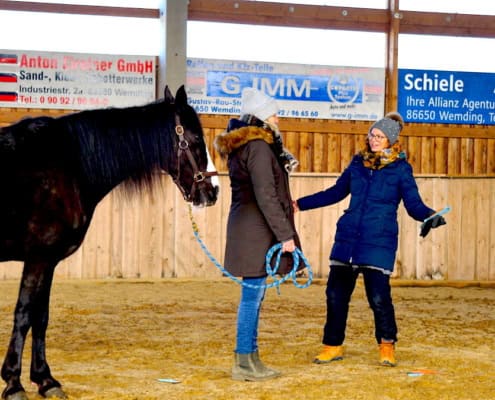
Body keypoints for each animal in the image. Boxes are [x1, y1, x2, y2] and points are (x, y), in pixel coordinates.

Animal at [0, 86, 219, 398]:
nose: (213, 191)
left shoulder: (48, 261)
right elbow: (23, 314)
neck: (67, 165)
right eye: (197, 139)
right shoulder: (38, 258)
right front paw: (13, 383)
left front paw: (46, 380)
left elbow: (41, 317)